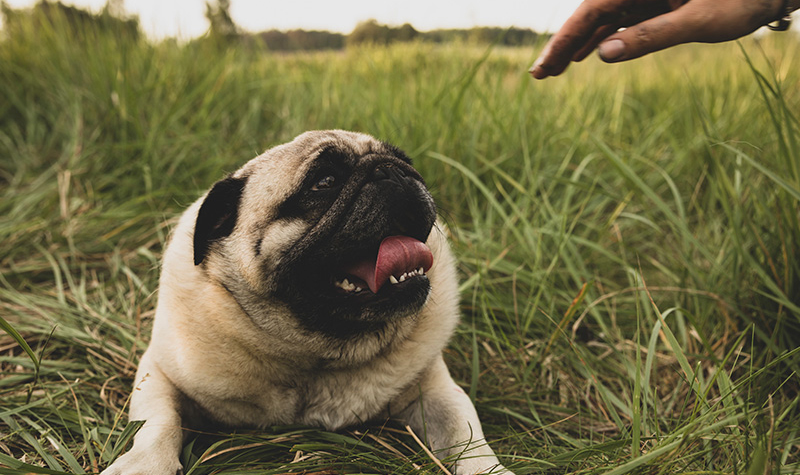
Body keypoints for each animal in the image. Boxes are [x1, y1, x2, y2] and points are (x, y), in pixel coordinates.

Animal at [101, 130, 512, 475]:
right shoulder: (161, 373)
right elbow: (158, 424)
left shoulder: (436, 389)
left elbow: (466, 438)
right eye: (324, 182)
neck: (319, 353)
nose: (392, 171)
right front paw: (142, 465)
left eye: (405, 160)